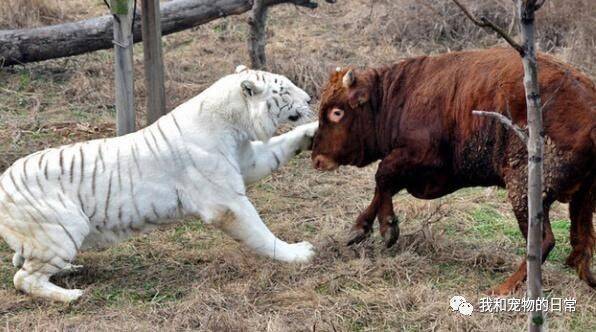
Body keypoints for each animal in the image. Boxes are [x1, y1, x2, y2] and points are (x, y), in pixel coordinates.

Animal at [0, 65, 316, 300]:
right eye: (285, 89)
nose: (311, 99)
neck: (234, 124)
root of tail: (4, 180)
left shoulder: (248, 162)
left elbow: (280, 147)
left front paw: (312, 132)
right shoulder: (226, 201)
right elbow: (260, 232)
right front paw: (298, 254)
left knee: (22, 261)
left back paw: (70, 269)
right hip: (62, 228)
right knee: (23, 278)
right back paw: (72, 295)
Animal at [312, 48, 596, 294]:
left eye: (337, 112)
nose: (317, 159)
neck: (395, 96)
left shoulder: (419, 156)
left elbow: (382, 176)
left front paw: (388, 228)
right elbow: (385, 186)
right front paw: (359, 229)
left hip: (524, 191)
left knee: (544, 241)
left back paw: (503, 288)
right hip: (581, 199)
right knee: (580, 243)